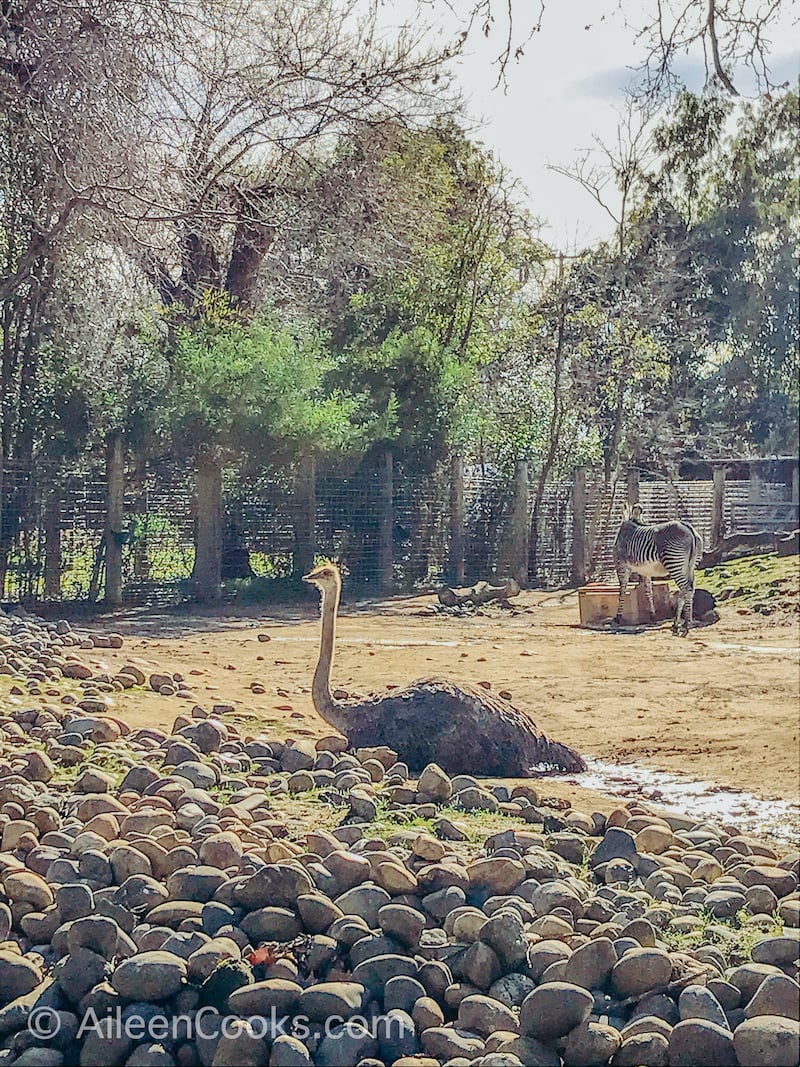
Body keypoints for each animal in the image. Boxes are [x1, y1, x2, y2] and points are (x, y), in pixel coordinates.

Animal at [618, 499, 704, 631]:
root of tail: (689, 528)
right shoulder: (646, 571)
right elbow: (649, 591)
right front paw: (652, 615)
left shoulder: (622, 566)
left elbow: (622, 590)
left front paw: (618, 617)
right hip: (690, 566)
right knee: (690, 589)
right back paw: (686, 622)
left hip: (674, 563)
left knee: (685, 588)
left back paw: (679, 622)